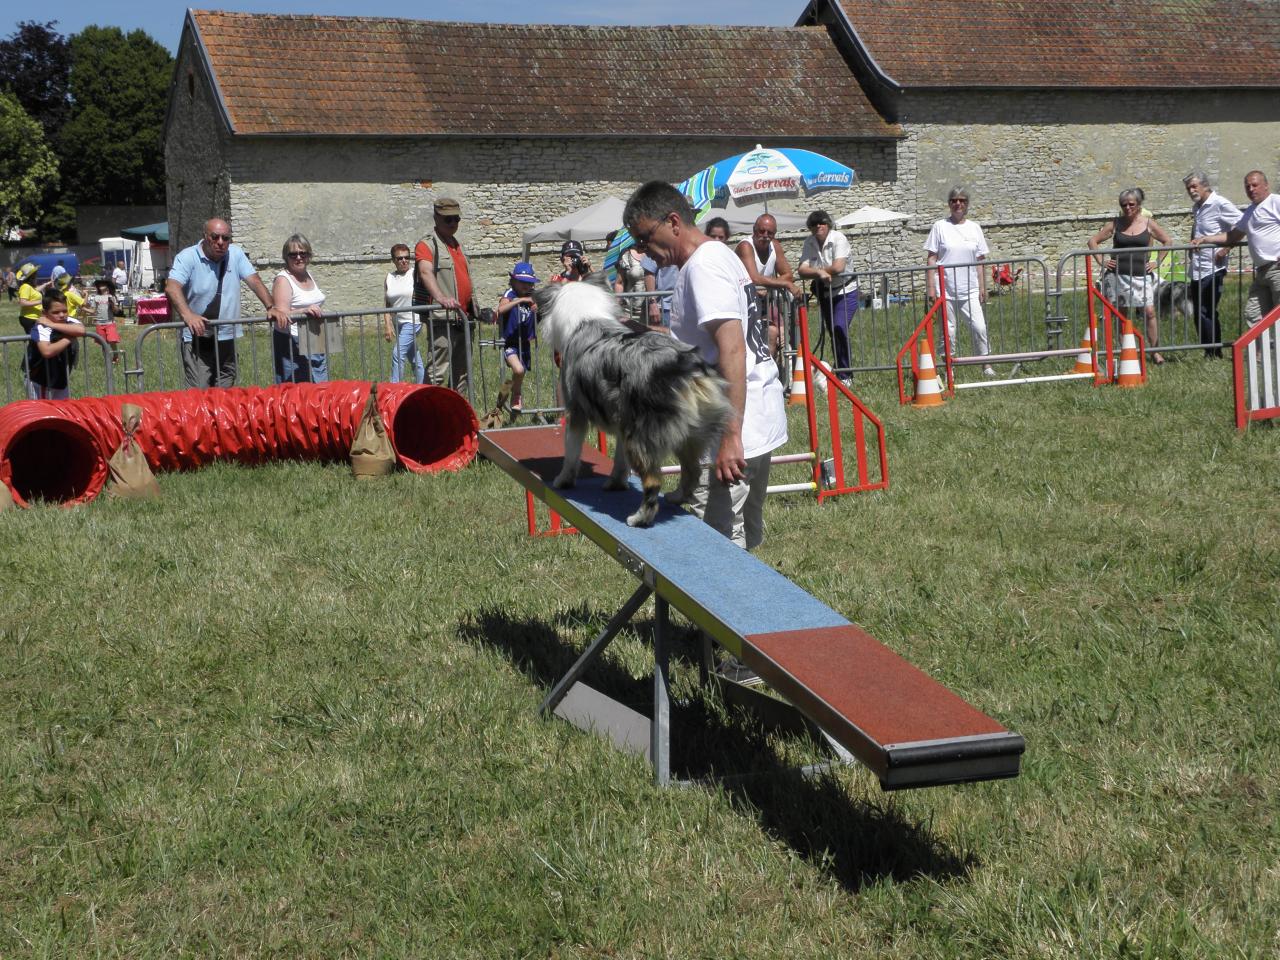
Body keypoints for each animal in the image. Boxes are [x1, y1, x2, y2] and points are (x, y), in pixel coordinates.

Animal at [529, 277, 732, 529]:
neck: (586, 320)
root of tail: (684, 367)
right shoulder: (621, 422)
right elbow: (619, 460)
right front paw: (615, 483)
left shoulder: (576, 413)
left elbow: (571, 452)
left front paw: (563, 480)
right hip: (690, 435)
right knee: (692, 471)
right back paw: (675, 497)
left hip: (641, 436)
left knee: (654, 481)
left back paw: (639, 518)